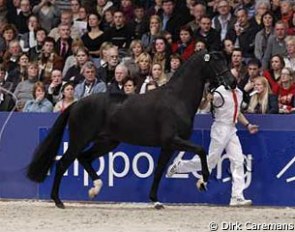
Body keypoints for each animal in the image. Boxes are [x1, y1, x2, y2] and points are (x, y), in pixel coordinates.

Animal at [26, 50, 237, 208]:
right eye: (216, 62)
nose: (233, 82)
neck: (177, 99)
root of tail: (76, 104)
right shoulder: (172, 140)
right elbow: (200, 151)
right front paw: (203, 181)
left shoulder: (168, 146)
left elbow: (159, 170)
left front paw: (156, 200)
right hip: (80, 139)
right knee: (63, 163)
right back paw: (58, 201)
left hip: (108, 142)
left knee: (84, 158)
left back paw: (95, 189)